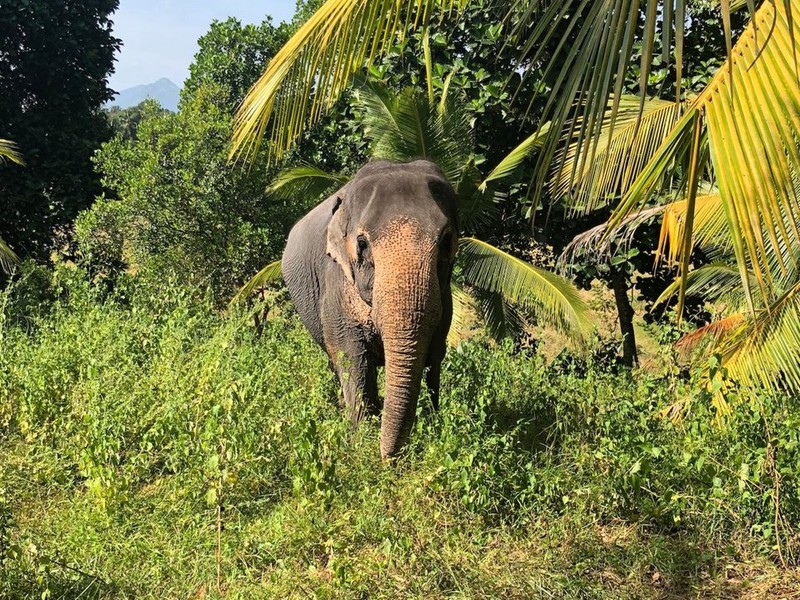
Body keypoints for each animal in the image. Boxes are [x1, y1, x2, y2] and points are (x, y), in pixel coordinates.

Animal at [282, 159, 456, 460]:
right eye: (362, 244)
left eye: (446, 242)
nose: (388, 461)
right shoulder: (337, 283)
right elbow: (352, 358)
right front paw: (361, 440)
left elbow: (435, 356)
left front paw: (434, 421)